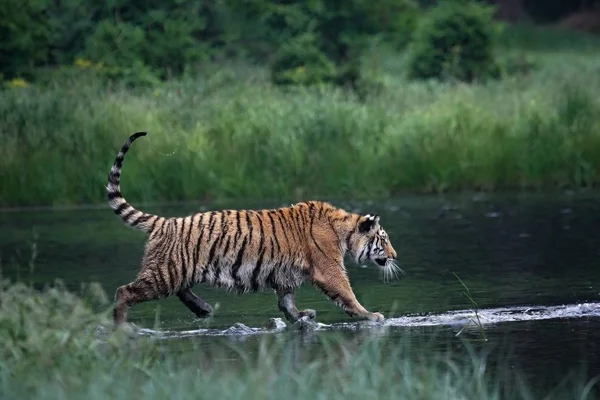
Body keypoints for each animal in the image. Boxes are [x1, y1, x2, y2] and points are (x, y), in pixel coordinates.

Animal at [108, 133, 400, 326]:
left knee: (180, 289)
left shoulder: (285, 274)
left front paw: (300, 316)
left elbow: (286, 300)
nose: (395, 256)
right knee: (124, 291)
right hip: (166, 271)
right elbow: (347, 293)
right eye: (383, 240)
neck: (343, 229)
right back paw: (122, 325)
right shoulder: (328, 268)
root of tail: (166, 222)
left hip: (178, 269)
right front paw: (371, 315)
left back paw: (203, 309)